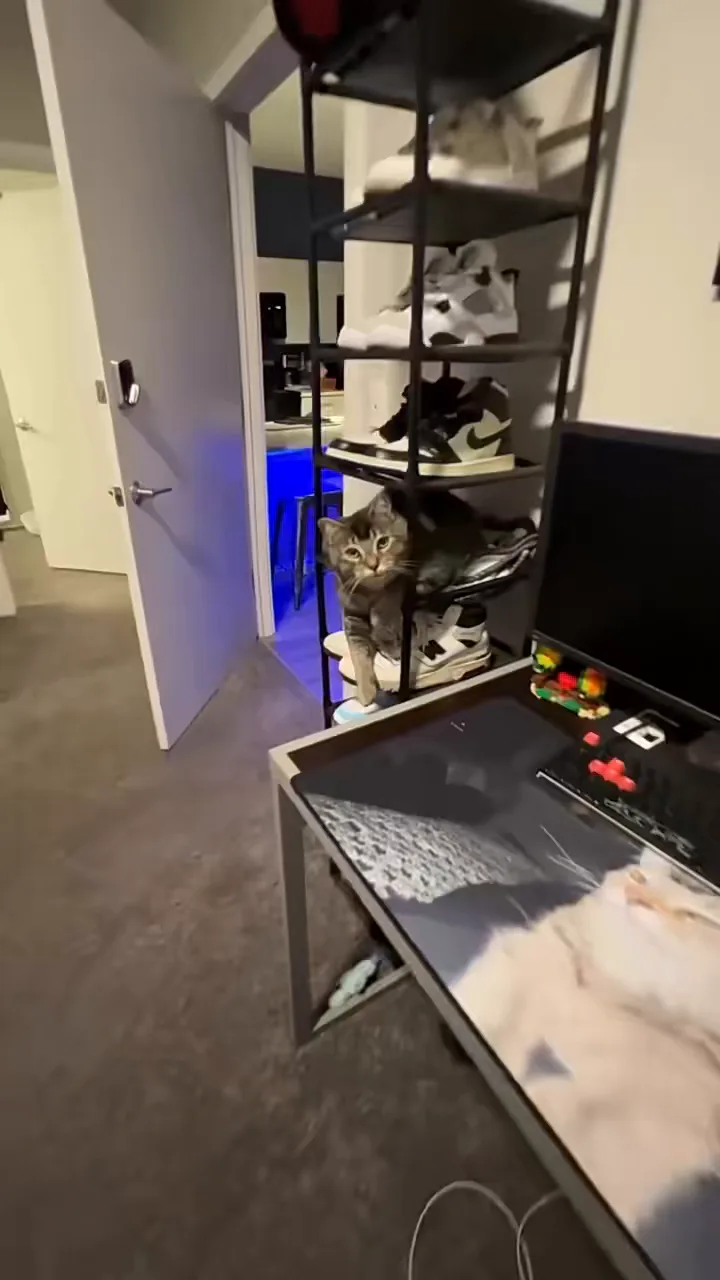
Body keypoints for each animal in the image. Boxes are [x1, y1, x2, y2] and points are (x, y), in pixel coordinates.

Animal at [319, 488, 490, 705]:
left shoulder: (401, 582)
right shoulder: (352, 614)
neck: (371, 594)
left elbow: (386, 614)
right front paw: (365, 694)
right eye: (352, 552)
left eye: (383, 542)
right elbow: (358, 653)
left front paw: (389, 646)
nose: (373, 565)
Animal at [452, 856, 720, 1229]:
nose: (634, 895)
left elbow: (567, 1112)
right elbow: (498, 1006)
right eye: (638, 877)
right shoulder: (532, 953)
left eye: (692, 916)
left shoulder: (656, 1116)